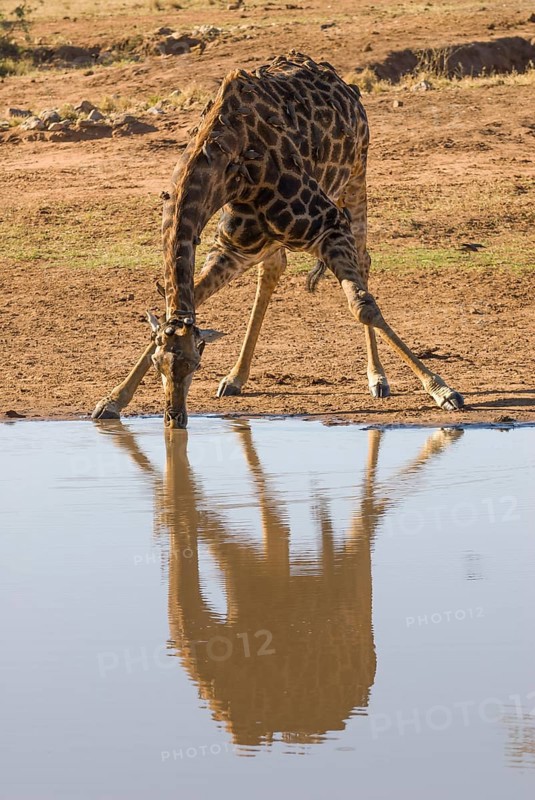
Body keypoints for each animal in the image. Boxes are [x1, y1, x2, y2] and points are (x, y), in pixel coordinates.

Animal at [92, 52, 464, 428]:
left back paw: (378, 378)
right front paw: (111, 400)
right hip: (269, 236)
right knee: (272, 270)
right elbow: (194, 294)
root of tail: (335, 77)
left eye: (196, 364)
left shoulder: (328, 225)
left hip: (356, 177)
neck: (229, 165)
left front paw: (442, 390)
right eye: (158, 365)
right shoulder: (233, 246)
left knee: (364, 261)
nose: (174, 418)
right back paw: (235, 378)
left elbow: (363, 306)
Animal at [97, 419, 463, 746]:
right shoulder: (244, 574)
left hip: (352, 582)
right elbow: (207, 513)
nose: (174, 419)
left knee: (365, 518)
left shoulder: (254, 571)